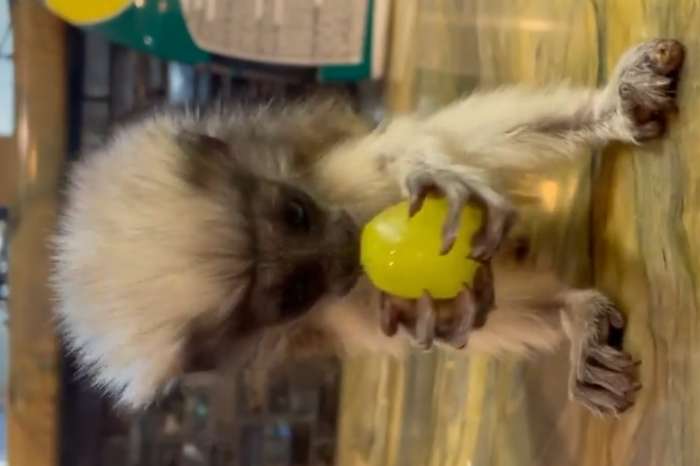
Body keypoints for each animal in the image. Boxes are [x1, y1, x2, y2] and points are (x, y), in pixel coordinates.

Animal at [51, 39, 684, 417]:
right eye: (292, 293)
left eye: (296, 214)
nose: (342, 247)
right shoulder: (323, 309)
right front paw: (431, 312)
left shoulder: (312, 161)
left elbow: (398, 157)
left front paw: (425, 171)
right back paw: (573, 310)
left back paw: (612, 112)